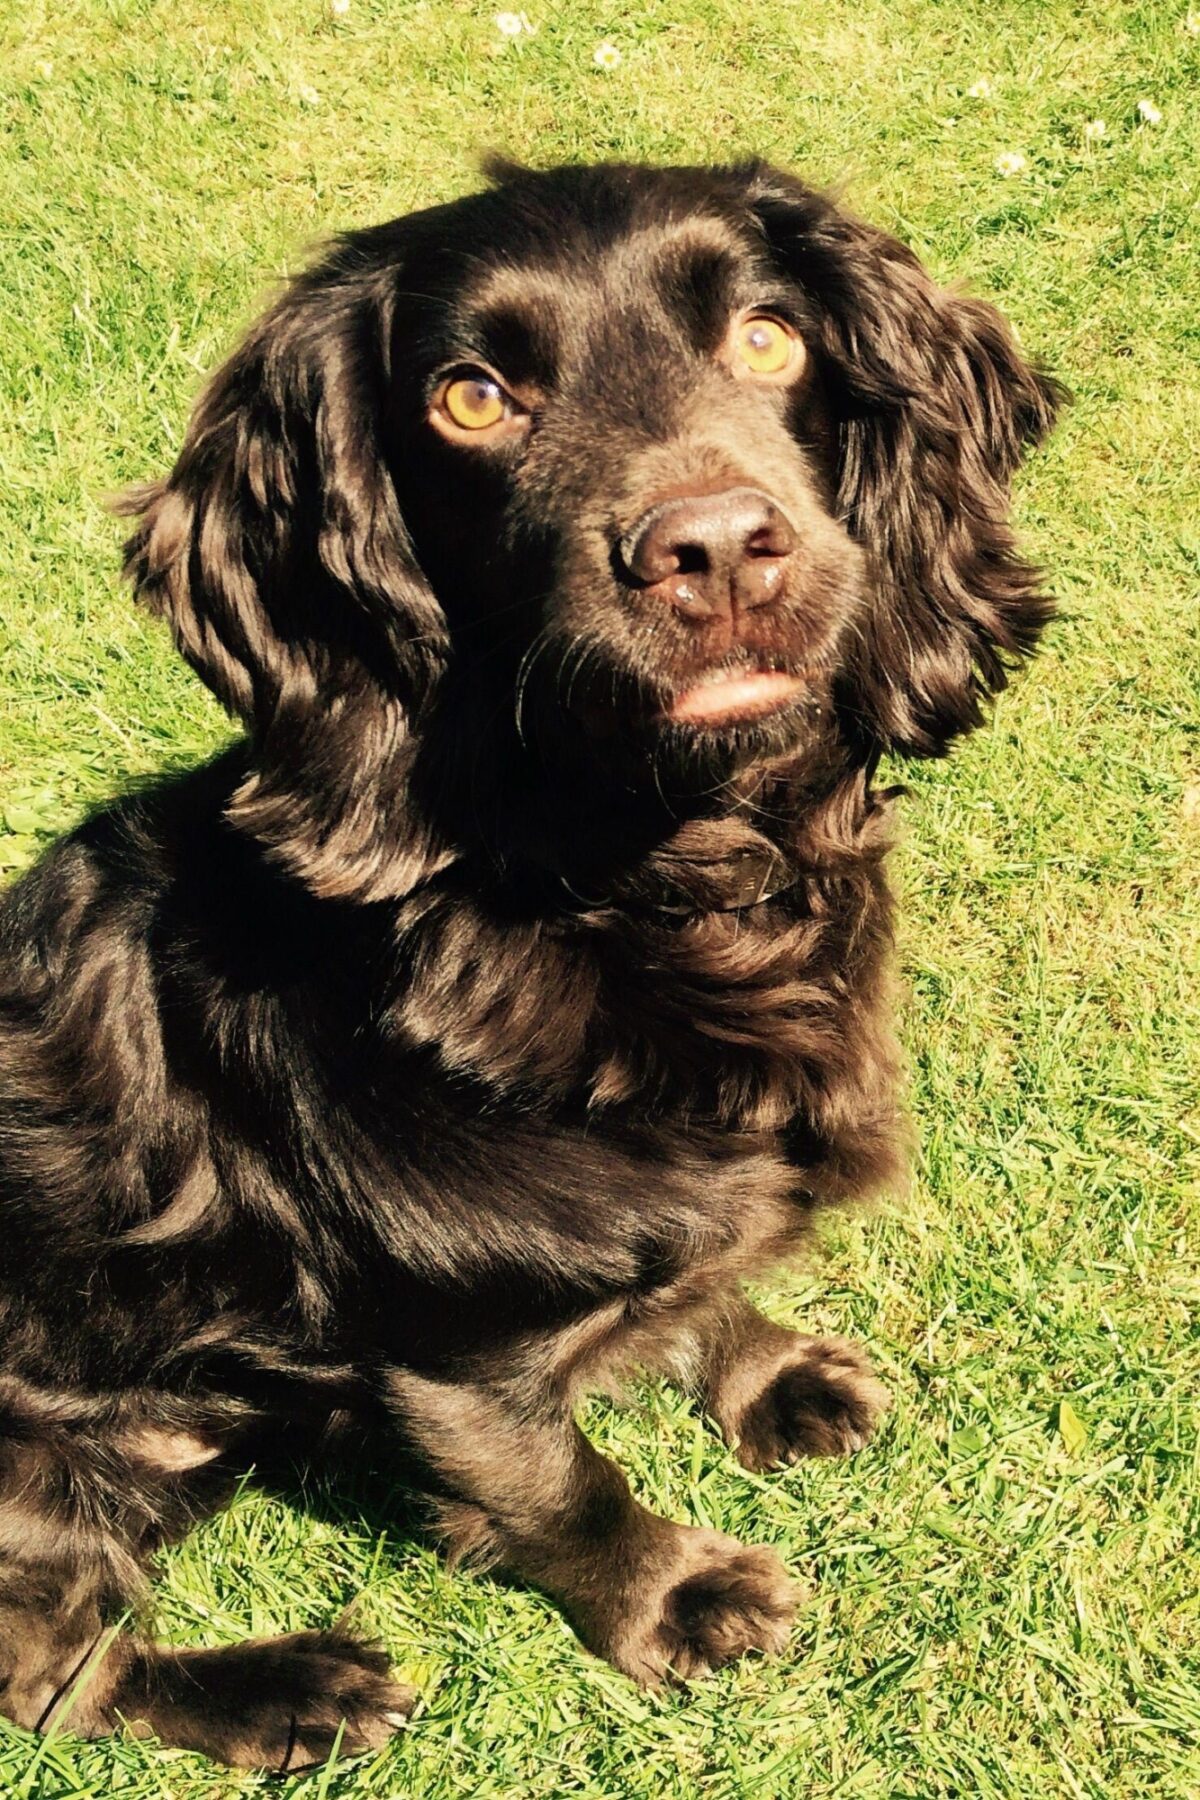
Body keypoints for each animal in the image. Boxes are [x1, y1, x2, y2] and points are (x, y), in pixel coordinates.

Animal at [0, 162, 1057, 1764]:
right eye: (474, 398)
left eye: (768, 338)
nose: (714, 548)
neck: (648, 902)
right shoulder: (455, 1366)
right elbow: (566, 1490)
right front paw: (679, 1596)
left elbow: (705, 1288)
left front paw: (771, 1376)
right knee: (57, 1672)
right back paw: (287, 1689)